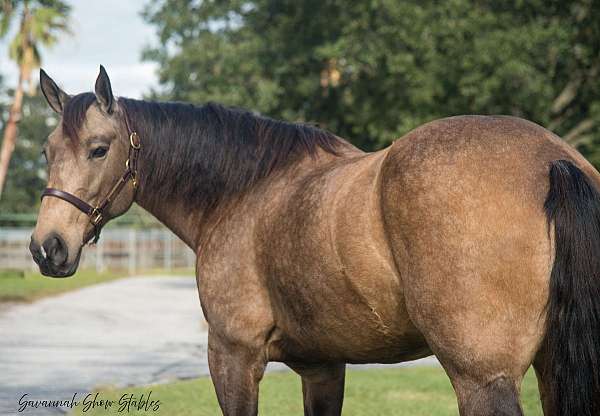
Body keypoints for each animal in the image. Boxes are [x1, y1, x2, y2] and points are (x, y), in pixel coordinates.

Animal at [29, 66, 600, 414]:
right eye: (46, 150)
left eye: (99, 149)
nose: (46, 247)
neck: (244, 190)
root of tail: (553, 161)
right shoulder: (323, 367)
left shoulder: (233, 357)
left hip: (482, 379)